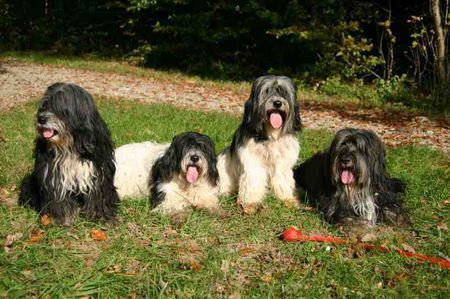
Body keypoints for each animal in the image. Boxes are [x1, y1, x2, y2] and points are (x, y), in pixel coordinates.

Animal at [19, 83, 118, 226]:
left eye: (60, 107)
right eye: (44, 106)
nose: (41, 119)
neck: (71, 146)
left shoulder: (99, 171)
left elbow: (99, 195)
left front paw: (102, 216)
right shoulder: (54, 174)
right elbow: (59, 198)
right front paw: (64, 219)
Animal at [218, 76, 302, 214]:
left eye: (284, 92)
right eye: (266, 91)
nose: (277, 103)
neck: (271, 135)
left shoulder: (283, 162)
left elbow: (282, 179)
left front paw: (287, 199)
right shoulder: (252, 161)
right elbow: (253, 180)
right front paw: (250, 203)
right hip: (223, 160)